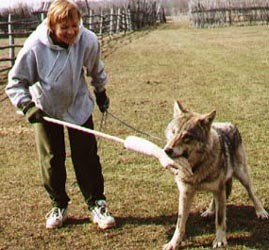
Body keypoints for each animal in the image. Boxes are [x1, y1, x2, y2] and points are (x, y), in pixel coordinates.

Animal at [161, 100, 268, 249]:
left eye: (187, 137)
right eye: (173, 132)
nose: (167, 150)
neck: (196, 168)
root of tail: (228, 123)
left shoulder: (220, 189)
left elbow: (220, 219)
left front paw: (220, 240)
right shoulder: (185, 193)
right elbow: (180, 224)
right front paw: (173, 243)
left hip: (242, 176)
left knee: (252, 193)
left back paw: (261, 212)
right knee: (214, 200)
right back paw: (209, 211)